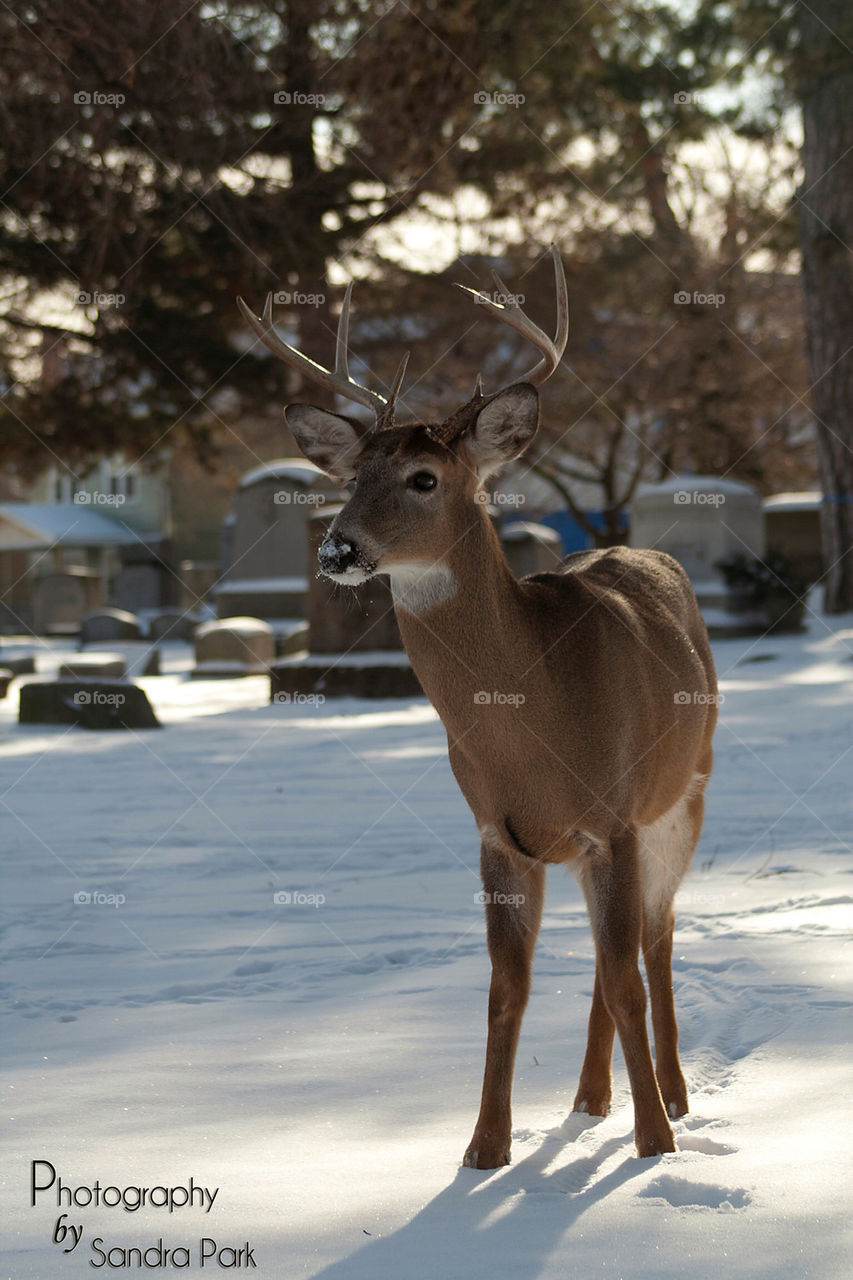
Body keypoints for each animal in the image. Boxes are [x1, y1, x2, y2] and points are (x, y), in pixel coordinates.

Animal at [238, 246, 718, 1166]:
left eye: (423, 477)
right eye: (350, 476)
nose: (337, 548)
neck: (534, 711)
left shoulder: (615, 816)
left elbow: (626, 979)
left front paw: (652, 1145)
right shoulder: (498, 832)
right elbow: (506, 989)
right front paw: (483, 1148)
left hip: (685, 794)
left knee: (654, 940)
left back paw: (673, 1098)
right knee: (610, 960)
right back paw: (588, 1099)